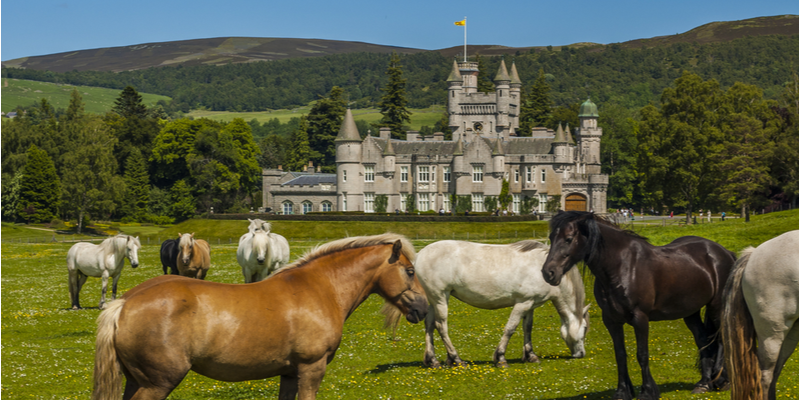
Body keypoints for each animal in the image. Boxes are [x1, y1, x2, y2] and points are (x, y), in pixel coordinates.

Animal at [92, 233, 432, 400]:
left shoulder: (289, 373)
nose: (423, 308)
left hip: (135, 380)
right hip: (158, 383)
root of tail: (124, 303)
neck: (321, 288)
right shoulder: (311, 369)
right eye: (410, 270)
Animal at [416, 239, 592, 368]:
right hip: (440, 297)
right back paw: (456, 358)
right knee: (441, 326)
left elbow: (527, 328)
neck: (543, 269)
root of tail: (420, 254)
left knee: (429, 325)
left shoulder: (530, 305)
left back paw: (433, 360)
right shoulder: (522, 303)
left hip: (434, 300)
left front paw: (531, 355)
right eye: (584, 328)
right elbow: (510, 329)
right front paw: (501, 358)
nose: (581, 354)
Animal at [540, 211, 736, 398]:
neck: (622, 266)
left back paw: (722, 381)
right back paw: (704, 384)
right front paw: (622, 391)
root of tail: (724, 253)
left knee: (722, 339)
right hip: (690, 312)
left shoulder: (640, 318)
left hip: (716, 307)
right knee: (703, 340)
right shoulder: (611, 320)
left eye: (568, 239)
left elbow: (642, 354)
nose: (548, 273)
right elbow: (620, 355)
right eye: (551, 238)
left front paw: (647, 391)